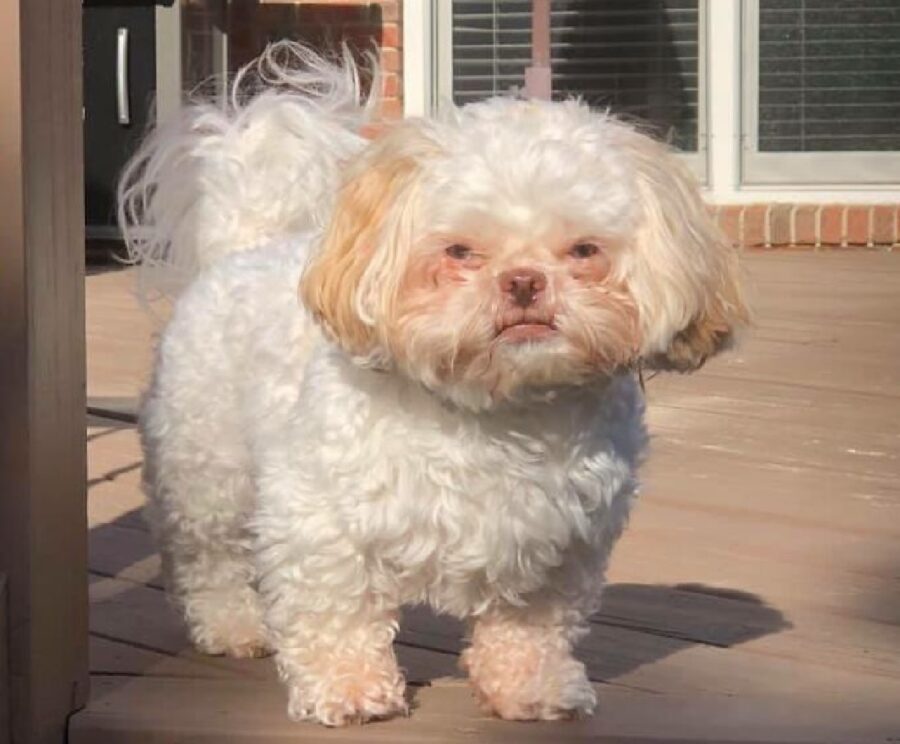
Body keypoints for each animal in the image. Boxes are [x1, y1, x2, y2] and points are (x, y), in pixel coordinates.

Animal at [123, 42, 748, 728]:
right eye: (460, 252)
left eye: (584, 251)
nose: (524, 281)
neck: (497, 412)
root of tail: (246, 245)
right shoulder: (320, 519)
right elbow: (335, 610)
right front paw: (349, 688)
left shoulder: (559, 542)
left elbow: (533, 627)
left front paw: (532, 687)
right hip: (207, 475)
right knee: (209, 560)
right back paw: (233, 626)